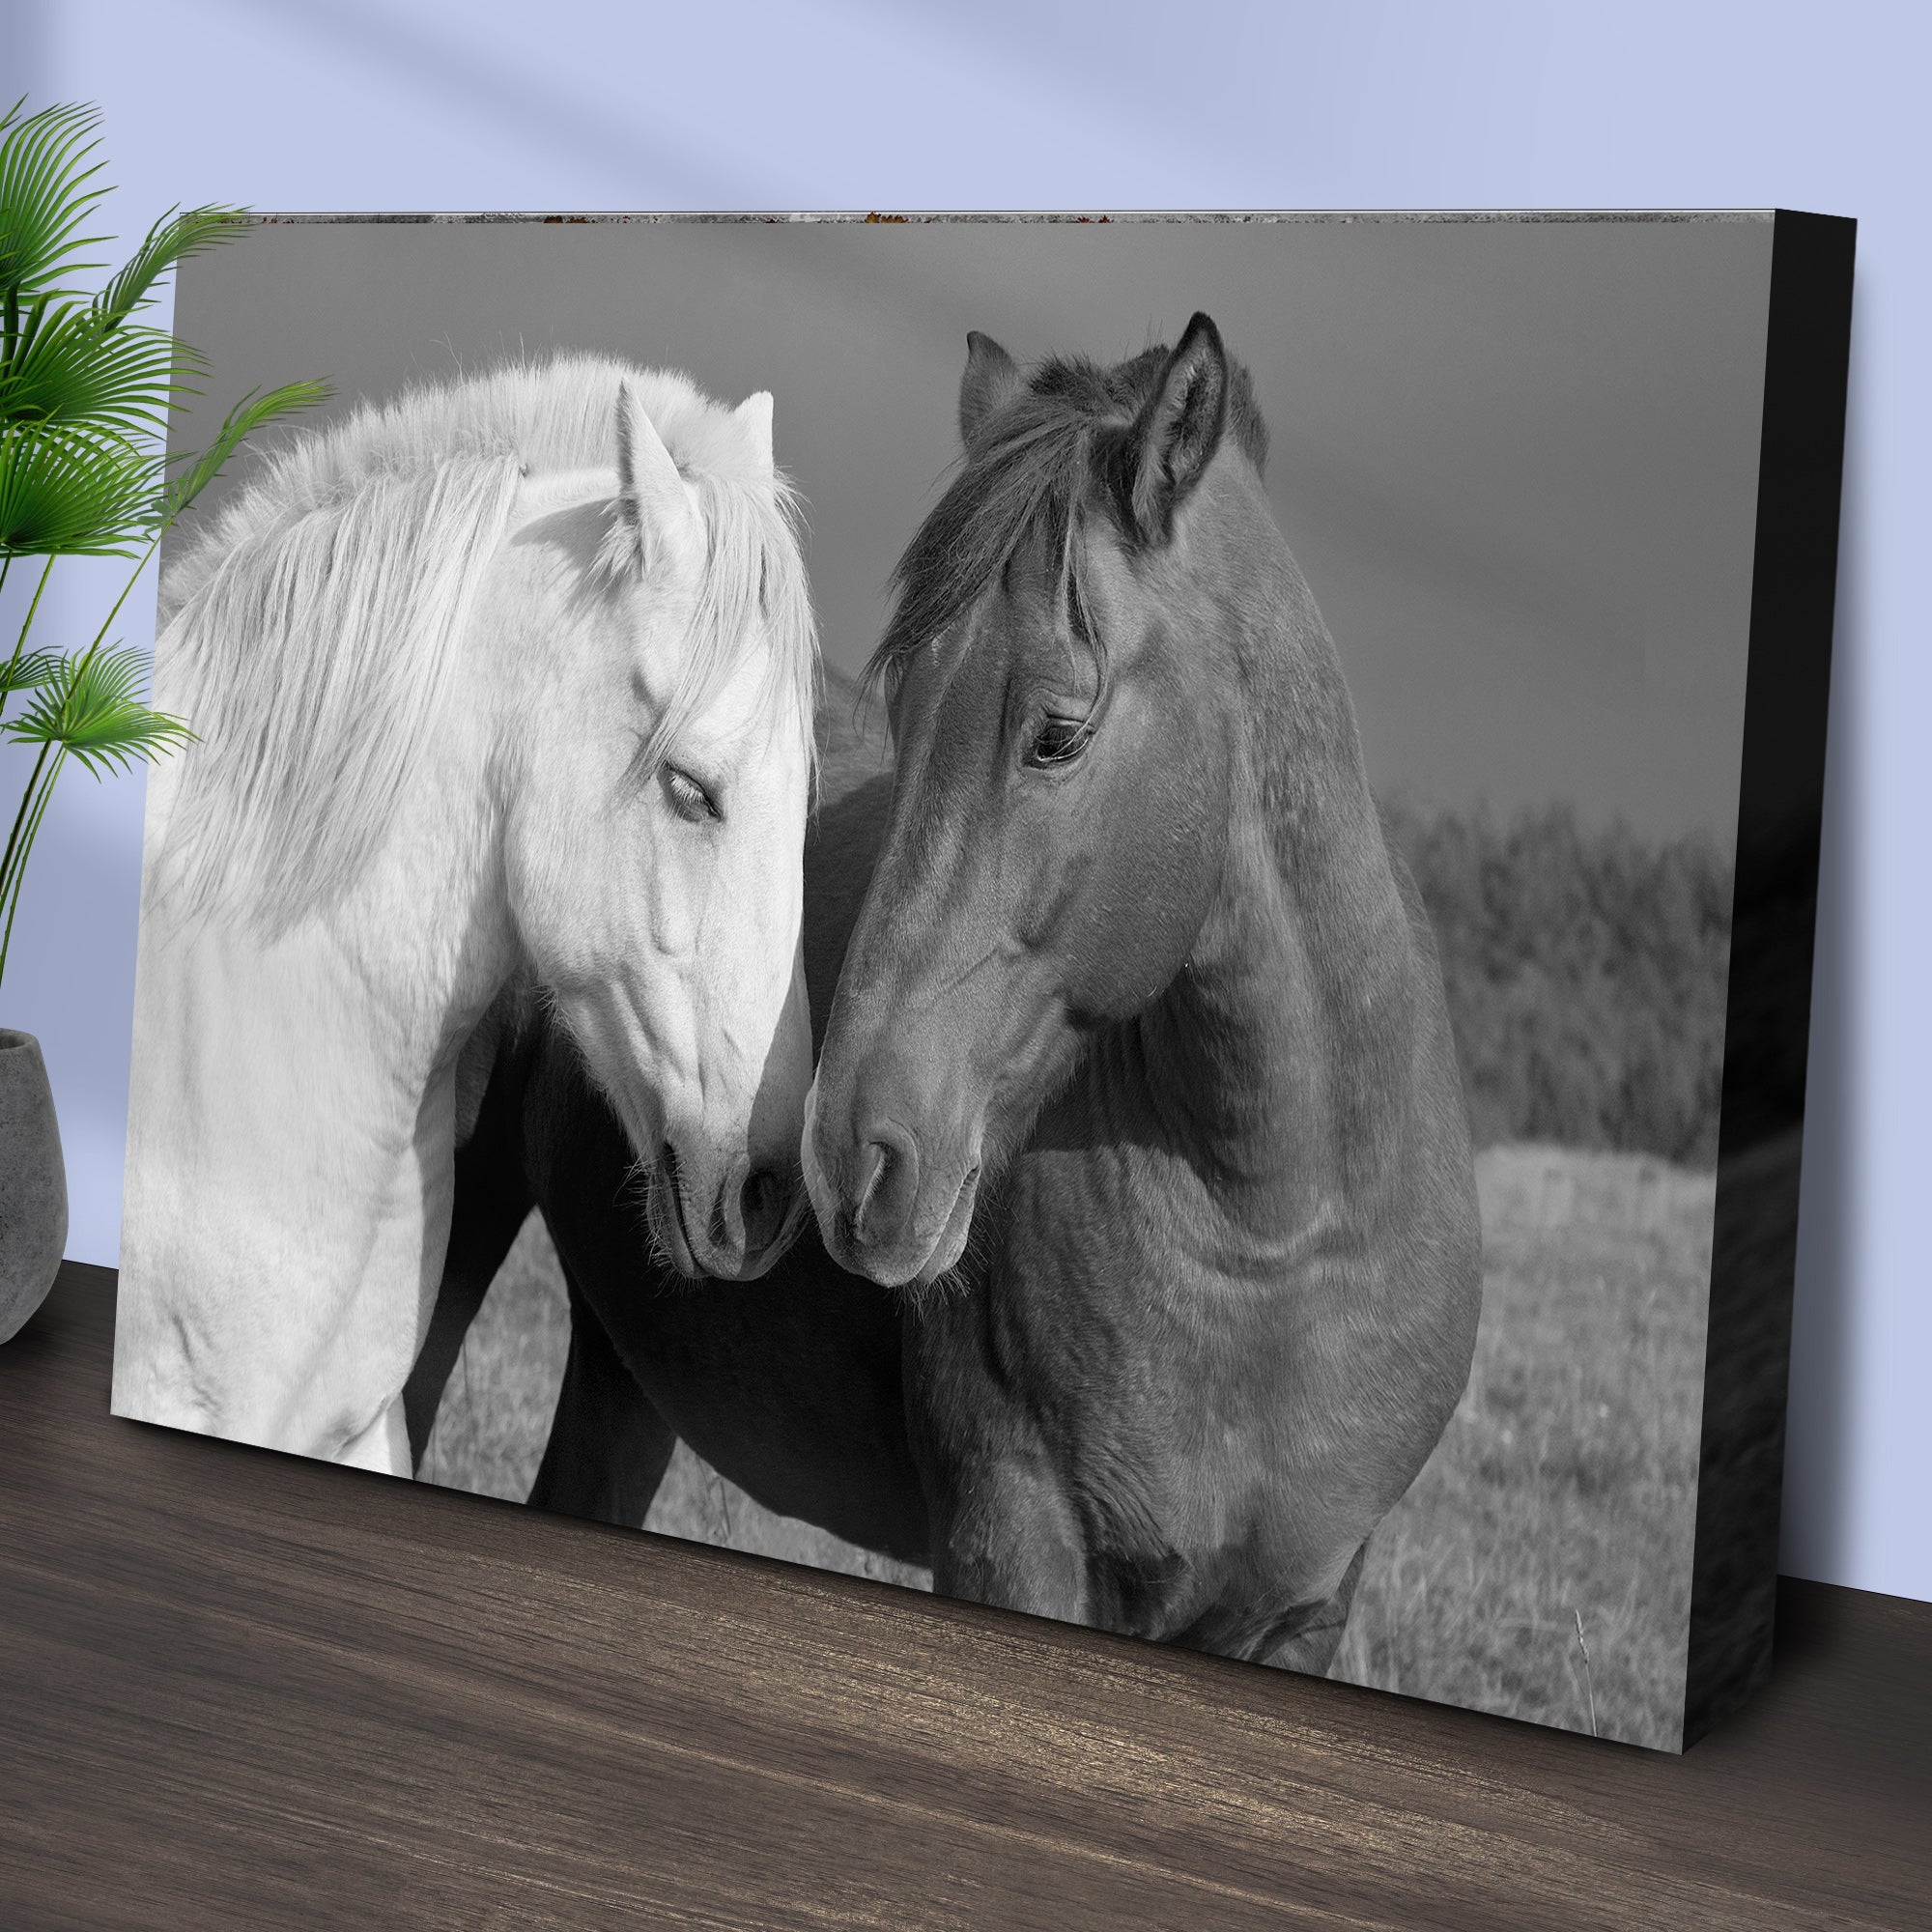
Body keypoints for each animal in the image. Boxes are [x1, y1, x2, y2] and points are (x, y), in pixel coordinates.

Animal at [802, 317, 1483, 1672]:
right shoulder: (1013, 1537)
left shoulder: (1302, 1608)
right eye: (900, 709)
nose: (851, 1153)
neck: (1276, 1237)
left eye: (1058, 732)